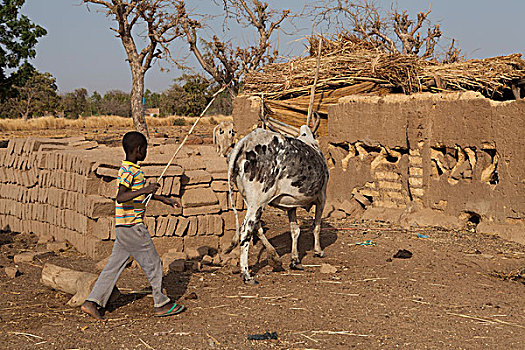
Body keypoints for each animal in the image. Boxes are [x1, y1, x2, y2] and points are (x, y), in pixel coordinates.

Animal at [224, 125, 328, 284]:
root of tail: (247, 141)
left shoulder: (291, 206)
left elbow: (295, 231)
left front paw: (295, 260)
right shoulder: (322, 197)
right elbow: (316, 226)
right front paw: (318, 250)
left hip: (251, 202)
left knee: (257, 228)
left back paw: (275, 259)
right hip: (258, 201)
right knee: (246, 231)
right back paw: (247, 274)